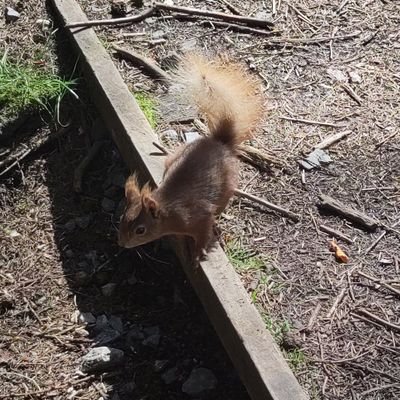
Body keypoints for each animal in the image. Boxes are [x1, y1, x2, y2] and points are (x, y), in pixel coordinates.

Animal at [117, 53, 264, 258]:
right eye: (122, 217)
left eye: (140, 230)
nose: (121, 243)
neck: (169, 212)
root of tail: (219, 143)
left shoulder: (200, 217)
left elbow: (203, 234)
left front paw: (197, 253)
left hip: (226, 188)